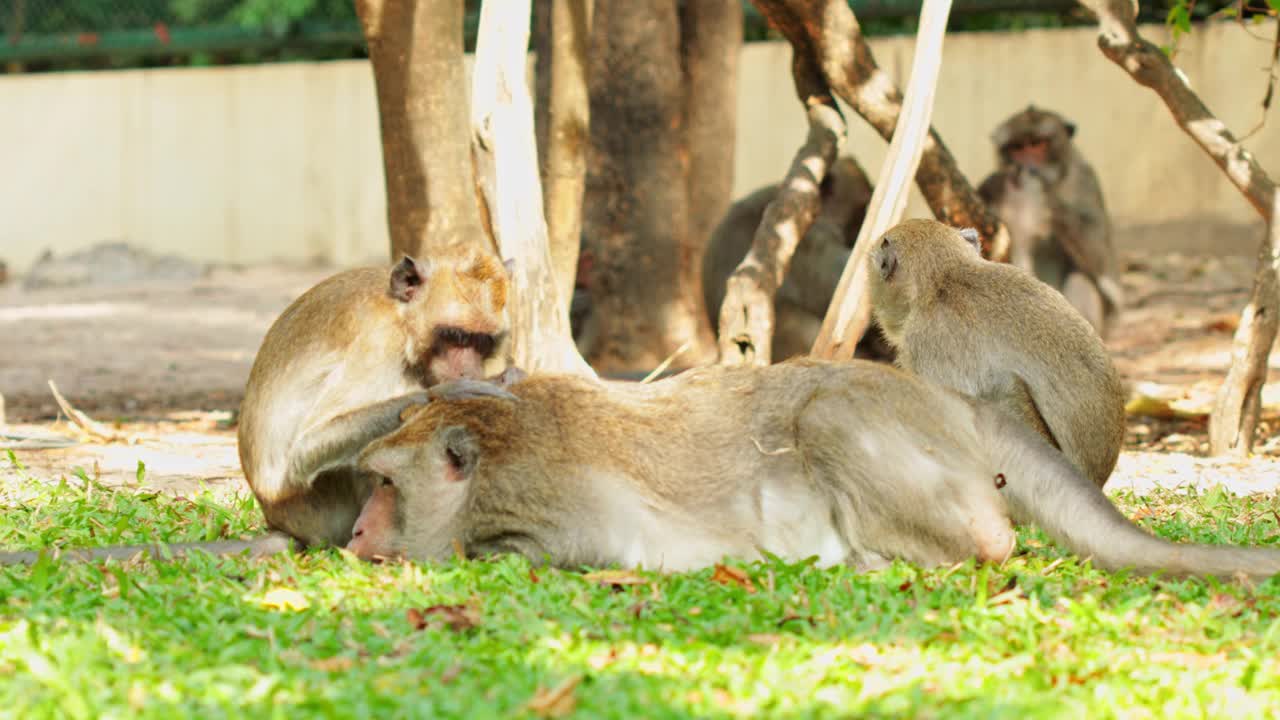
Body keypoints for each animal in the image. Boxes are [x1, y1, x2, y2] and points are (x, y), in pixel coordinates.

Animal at [977, 105, 1121, 335]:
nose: (1025, 165)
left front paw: (1040, 193)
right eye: (1017, 147)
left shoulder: (1086, 180)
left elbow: (1102, 256)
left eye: (1038, 144)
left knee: (1081, 277)